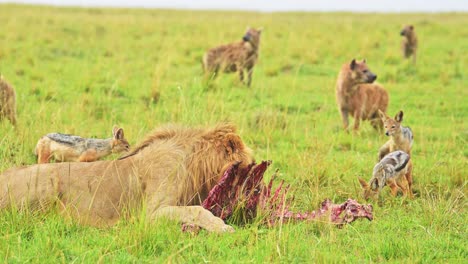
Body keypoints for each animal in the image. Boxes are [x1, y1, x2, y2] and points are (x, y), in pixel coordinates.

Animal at [0, 124, 254, 233]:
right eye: (247, 168)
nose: (251, 197)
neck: (194, 163)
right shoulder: (149, 214)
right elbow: (197, 210)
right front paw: (223, 227)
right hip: (47, 183)